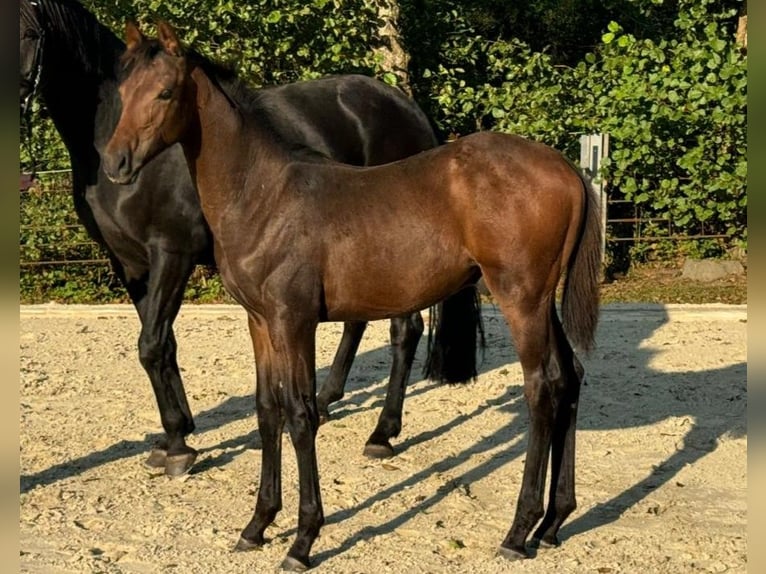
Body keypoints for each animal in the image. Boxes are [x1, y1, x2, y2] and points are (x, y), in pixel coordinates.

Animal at [21, 0, 484, 476]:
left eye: (26, 33)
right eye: (123, 92)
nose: (117, 162)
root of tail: (408, 108)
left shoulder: (171, 253)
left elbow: (151, 345)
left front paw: (179, 446)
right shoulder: (129, 264)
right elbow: (161, 345)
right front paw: (175, 435)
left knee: (405, 329)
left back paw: (382, 433)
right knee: (357, 321)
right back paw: (326, 400)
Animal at [103, 22, 608, 572]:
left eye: (165, 92)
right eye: (122, 90)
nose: (114, 162)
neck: (263, 195)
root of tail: (567, 169)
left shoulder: (293, 321)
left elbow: (300, 414)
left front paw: (303, 540)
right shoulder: (260, 322)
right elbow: (266, 410)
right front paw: (257, 525)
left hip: (521, 299)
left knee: (543, 387)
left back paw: (519, 530)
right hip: (542, 301)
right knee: (571, 377)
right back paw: (554, 521)